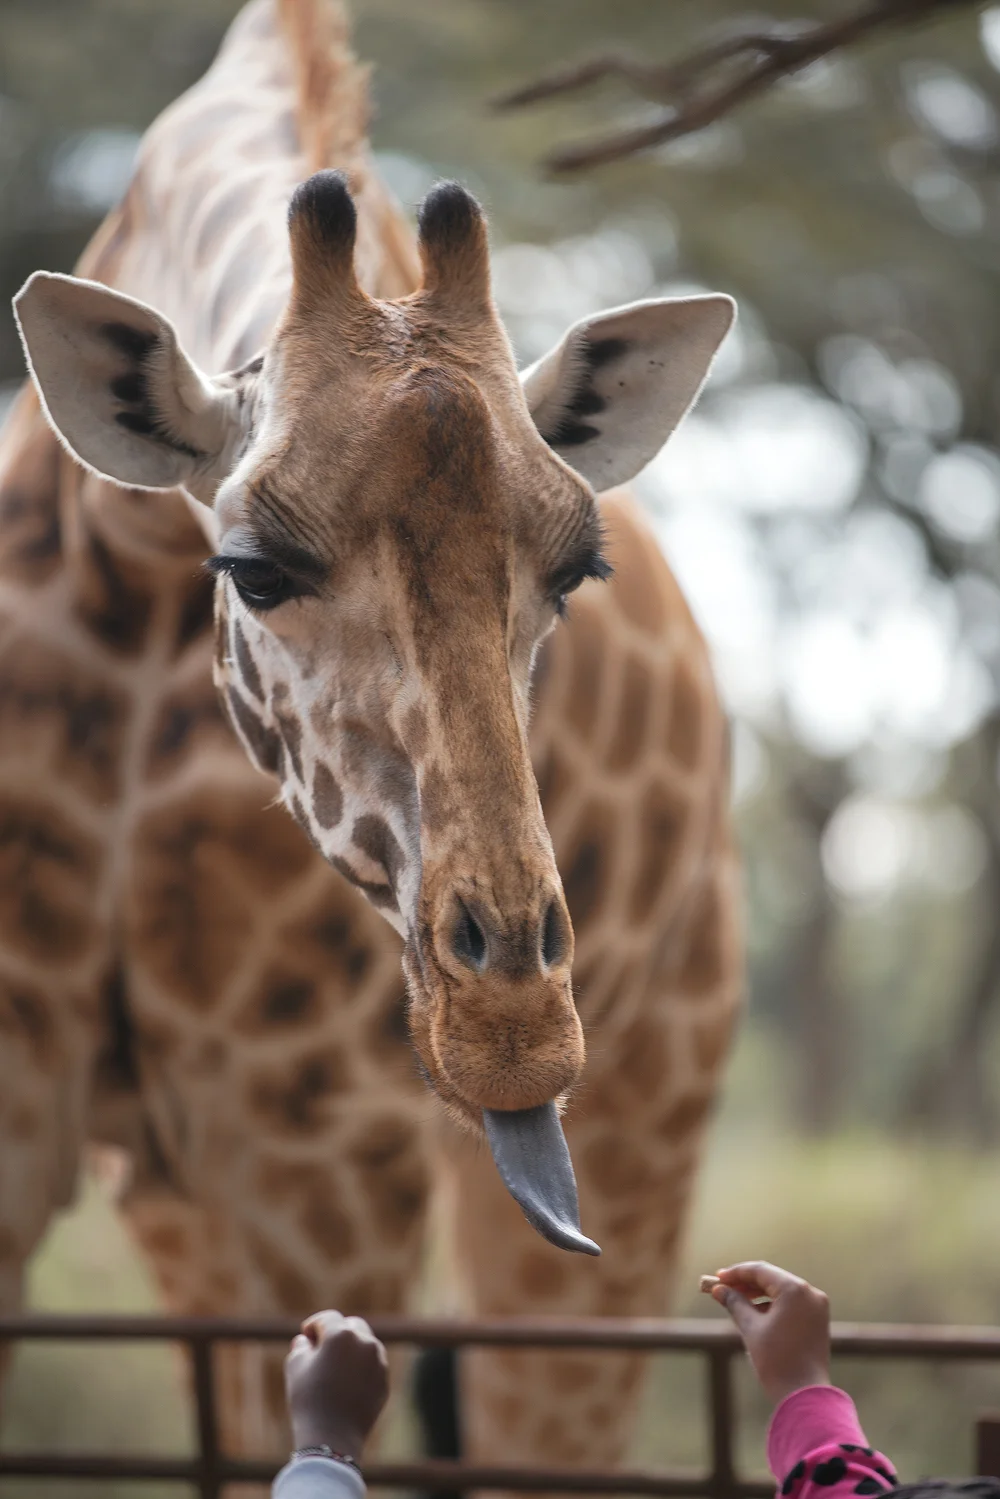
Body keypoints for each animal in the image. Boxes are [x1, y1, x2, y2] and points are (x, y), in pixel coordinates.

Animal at [0, 0, 743, 1478]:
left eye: (575, 567)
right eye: (254, 563)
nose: (513, 1029)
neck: (126, 558)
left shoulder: (323, 1144)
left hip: (644, 1127)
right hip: (181, 1192)